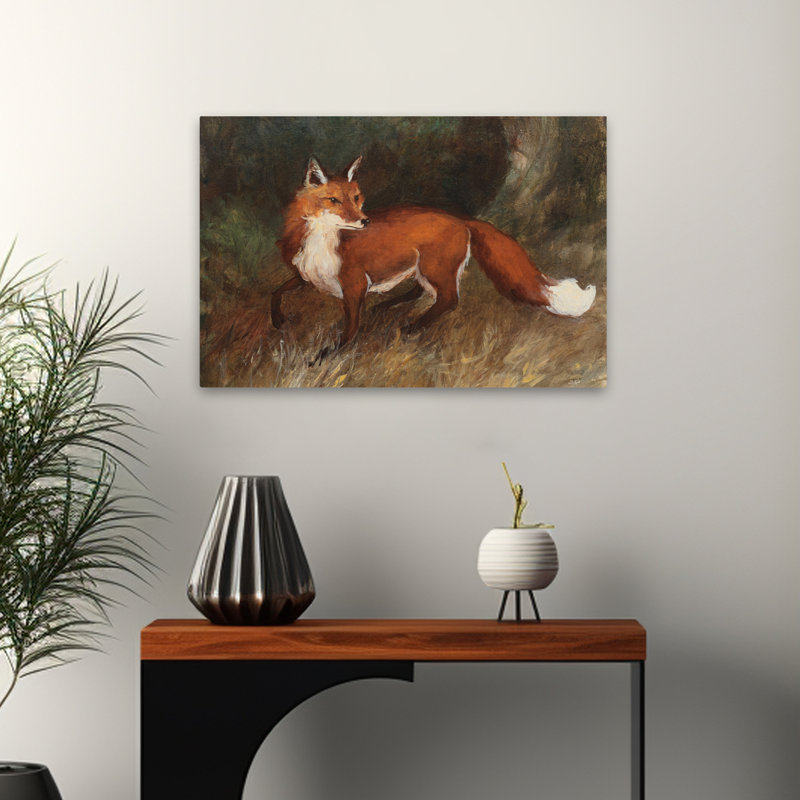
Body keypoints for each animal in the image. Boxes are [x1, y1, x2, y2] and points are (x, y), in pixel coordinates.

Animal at [271, 155, 596, 351]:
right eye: (334, 200)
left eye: (356, 198)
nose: (364, 221)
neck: (323, 243)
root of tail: (461, 219)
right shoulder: (306, 276)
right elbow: (276, 291)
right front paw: (277, 321)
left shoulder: (354, 285)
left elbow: (350, 328)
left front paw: (329, 355)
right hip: (424, 268)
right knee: (422, 292)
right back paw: (388, 308)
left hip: (434, 268)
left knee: (448, 300)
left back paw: (412, 327)